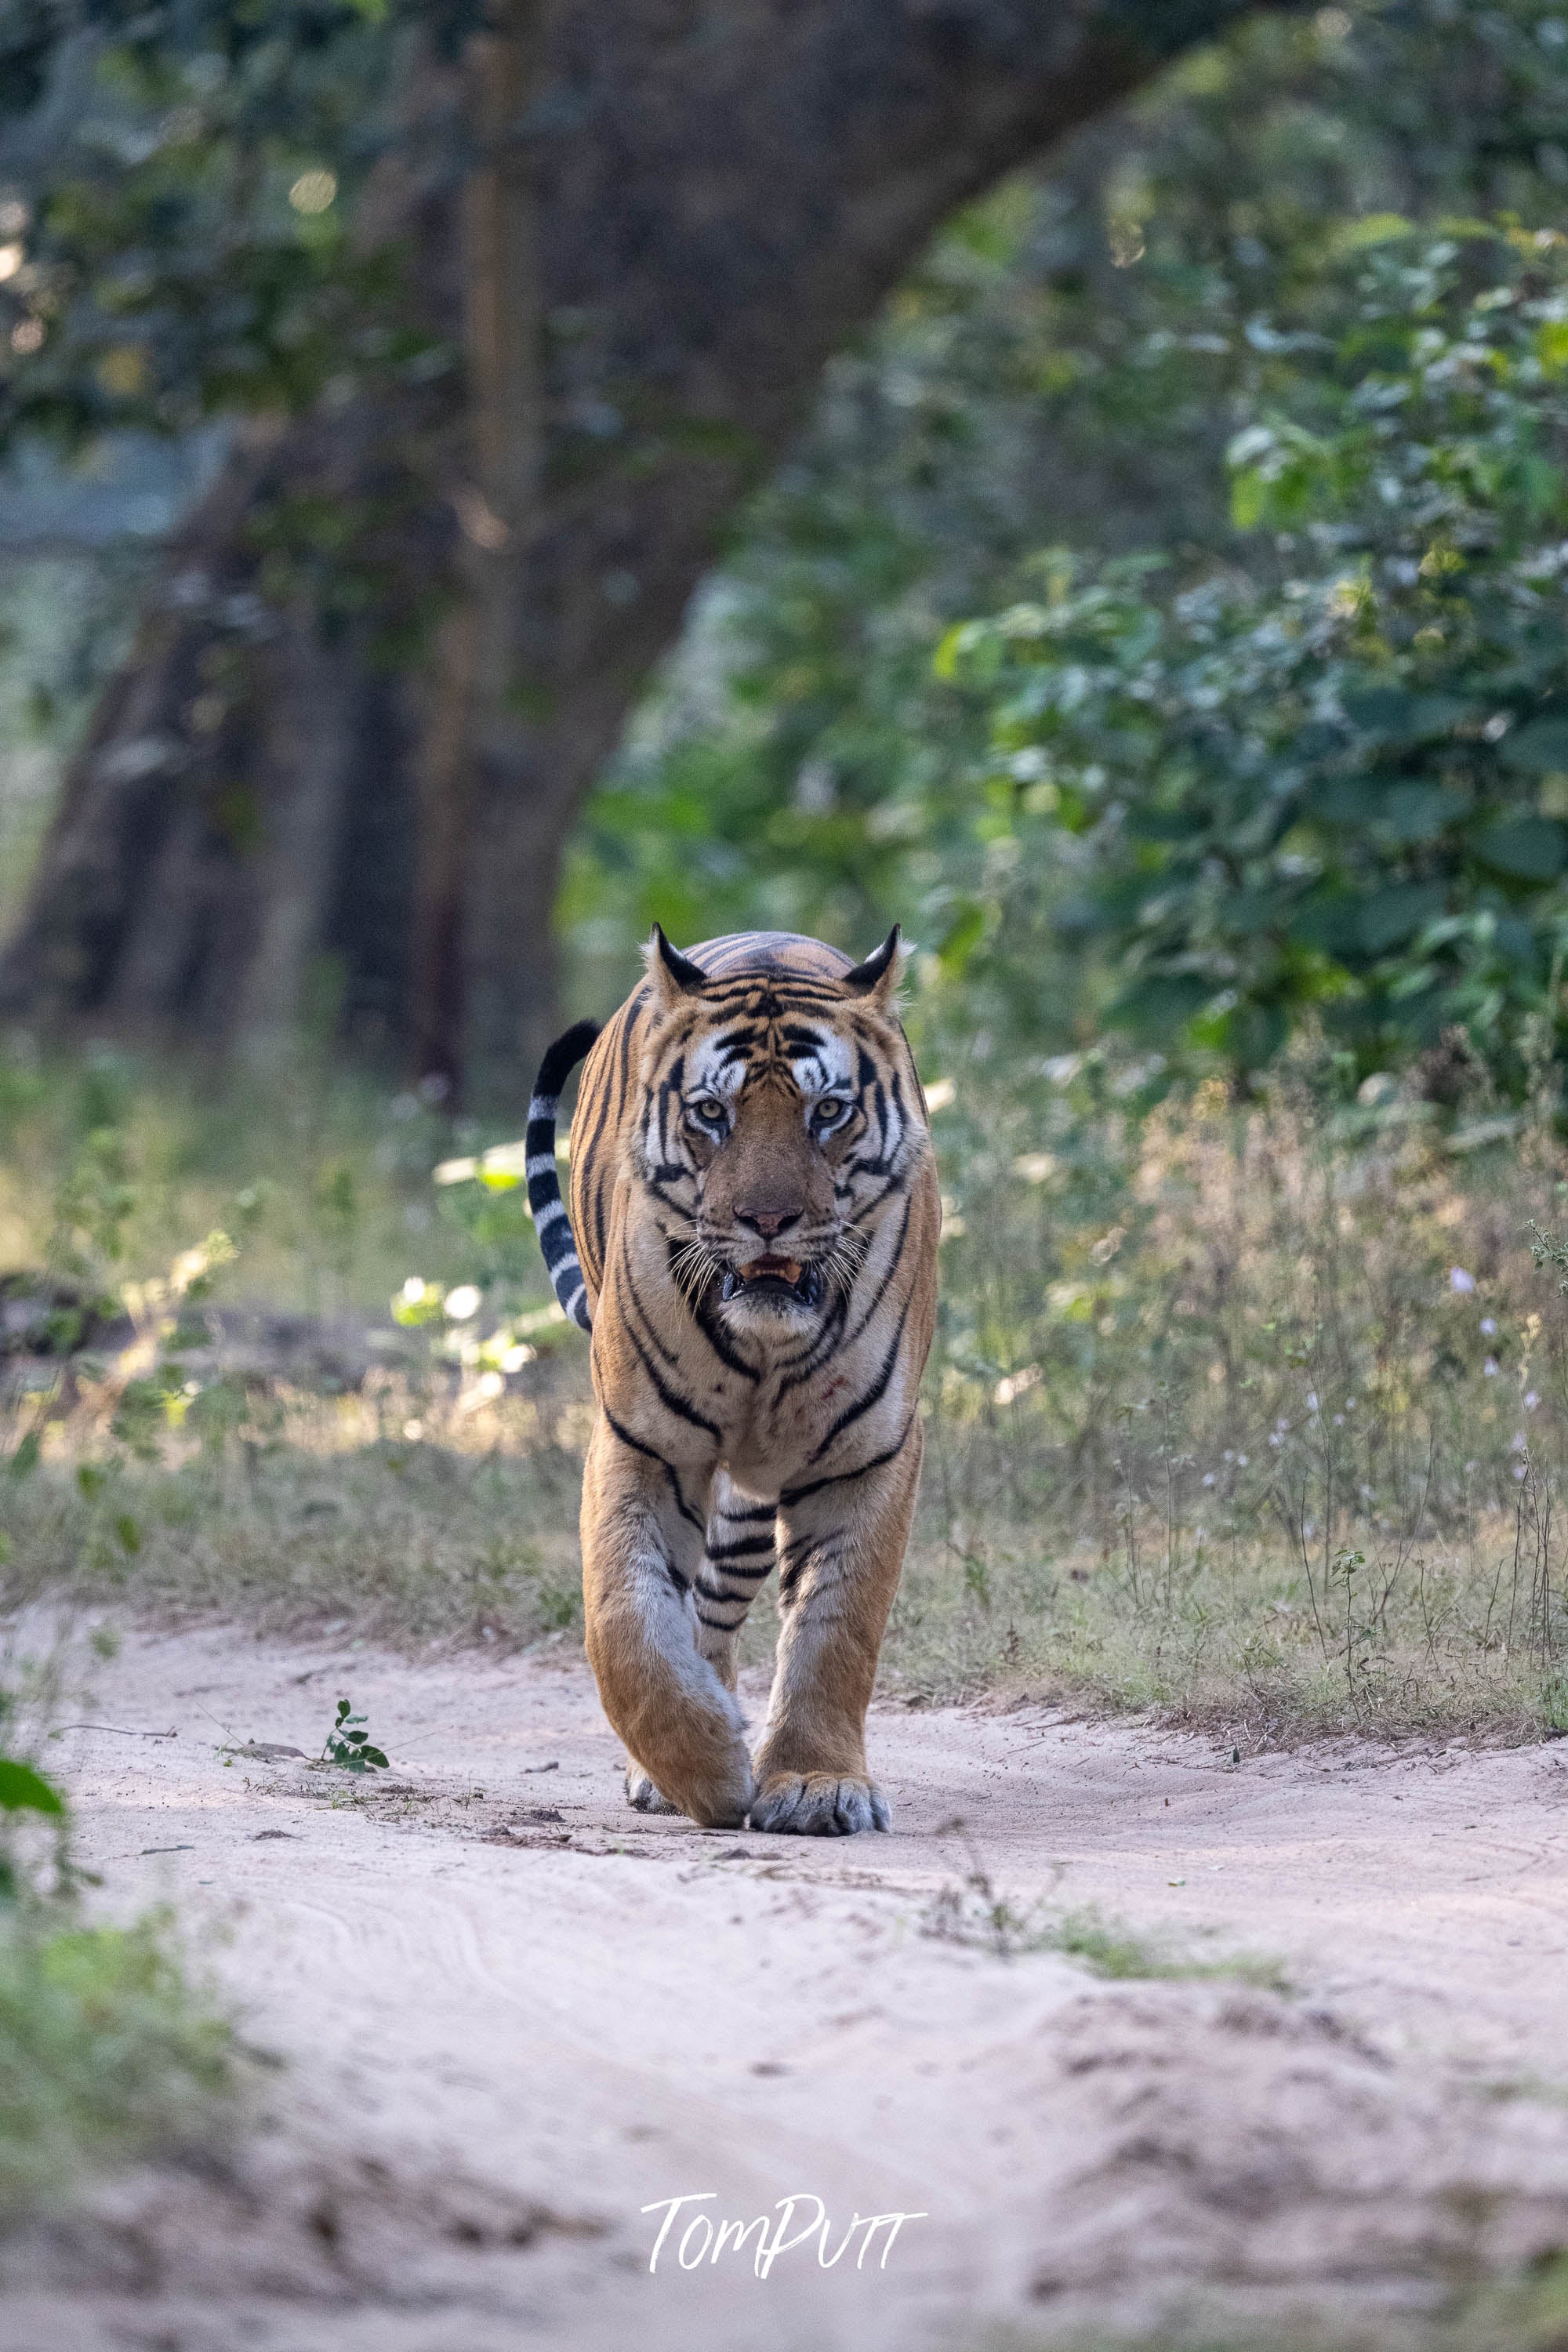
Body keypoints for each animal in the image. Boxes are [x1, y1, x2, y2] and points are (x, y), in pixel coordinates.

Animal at [525, 926, 940, 1835]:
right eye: (712, 1113)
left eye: (828, 1112)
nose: (768, 1221)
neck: (766, 1352)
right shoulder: (641, 1442)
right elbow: (624, 1623)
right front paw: (707, 1769)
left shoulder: (870, 1451)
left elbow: (837, 1629)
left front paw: (817, 1784)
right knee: (688, 1613)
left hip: (750, 1504)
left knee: (717, 1601)